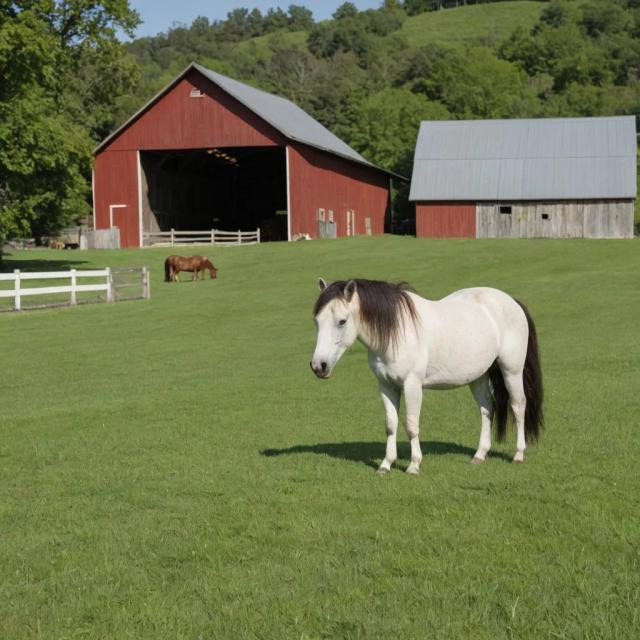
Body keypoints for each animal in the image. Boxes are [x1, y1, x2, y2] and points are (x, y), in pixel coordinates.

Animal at [310, 278, 543, 475]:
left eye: (342, 321)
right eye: (317, 321)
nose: (318, 366)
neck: (396, 330)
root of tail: (512, 302)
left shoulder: (412, 386)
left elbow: (411, 426)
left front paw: (413, 465)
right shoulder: (386, 386)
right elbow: (391, 424)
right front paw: (385, 465)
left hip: (512, 371)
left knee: (518, 406)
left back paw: (518, 455)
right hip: (478, 376)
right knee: (487, 409)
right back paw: (479, 455)